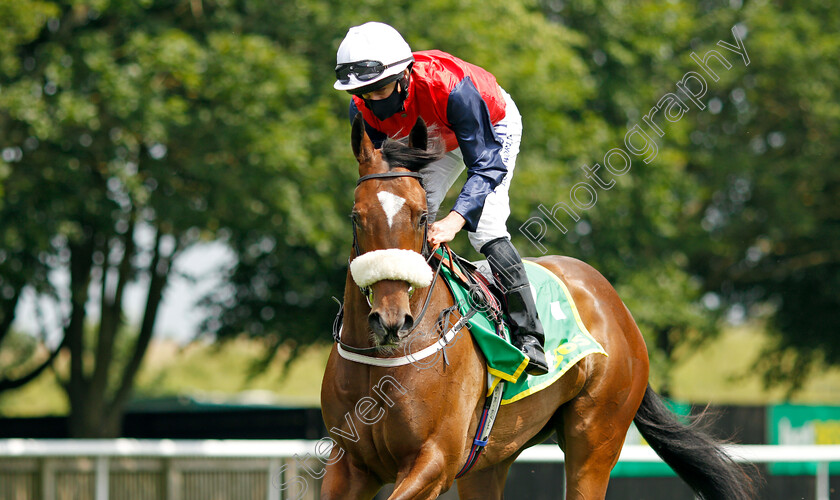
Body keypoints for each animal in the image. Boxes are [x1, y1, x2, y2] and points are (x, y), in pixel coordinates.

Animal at [318, 116, 752, 500]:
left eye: (423, 217)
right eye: (356, 217)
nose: (392, 320)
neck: (386, 360)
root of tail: (616, 305)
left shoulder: (434, 462)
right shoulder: (350, 465)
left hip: (596, 437)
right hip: (489, 461)